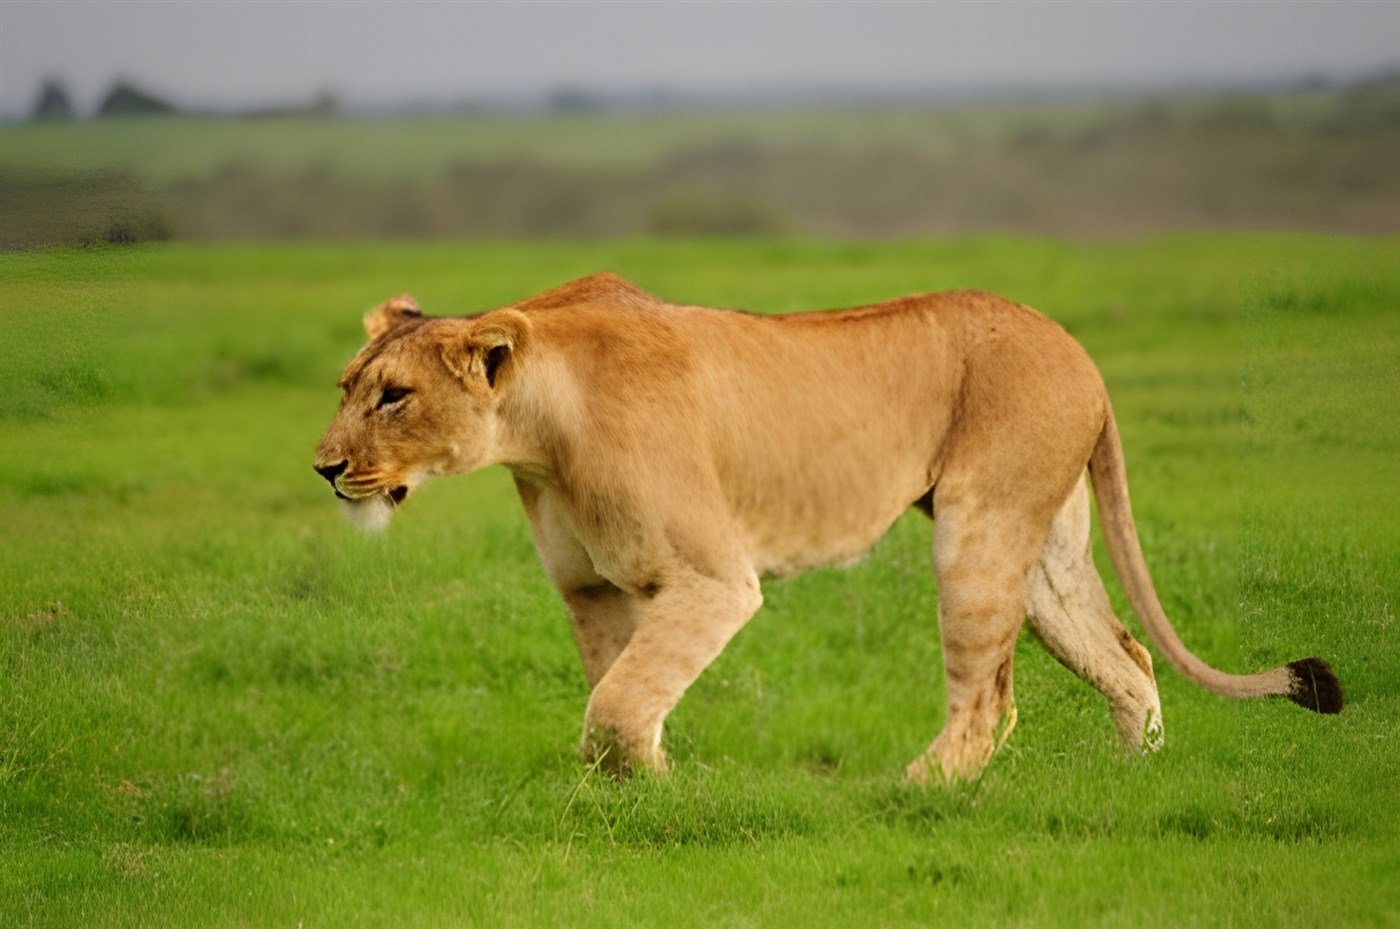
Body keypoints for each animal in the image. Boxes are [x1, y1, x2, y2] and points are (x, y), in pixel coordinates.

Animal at [314, 273, 1342, 782]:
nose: (324, 468)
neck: (535, 433)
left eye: (394, 396)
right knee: (1125, 655)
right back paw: (1135, 789)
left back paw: (907, 793)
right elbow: (620, 696)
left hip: (977, 527)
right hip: (1045, 545)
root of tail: (1079, 351)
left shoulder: (713, 577)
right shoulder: (595, 587)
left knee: (989, 701)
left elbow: (614, 706)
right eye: (347, 387)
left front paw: (665, 794)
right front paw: (639, 797)